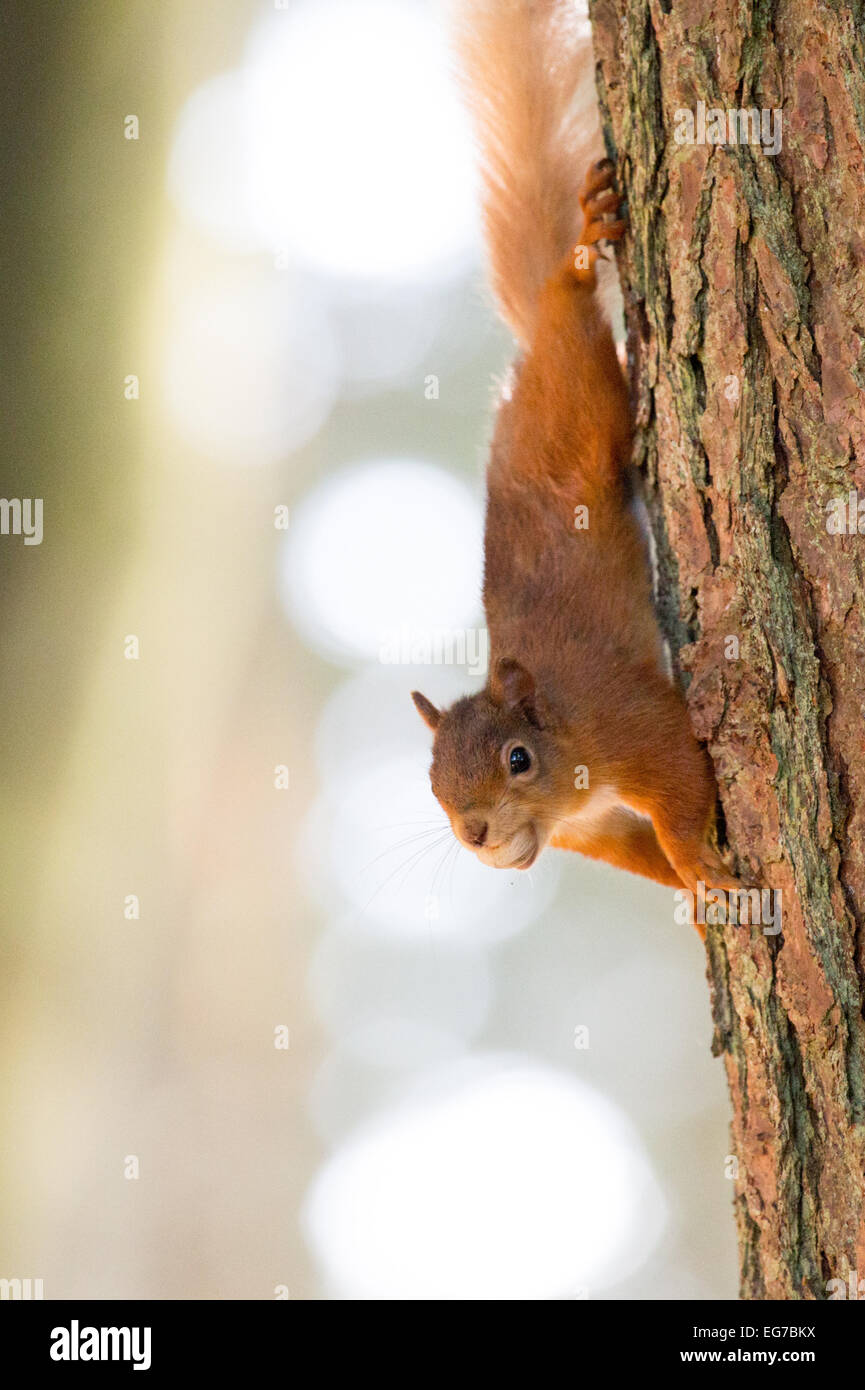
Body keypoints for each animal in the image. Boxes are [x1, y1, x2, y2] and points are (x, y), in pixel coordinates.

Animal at [414, 0, 739, 906]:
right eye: (431, 783)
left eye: (517, 759)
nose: (477, 835)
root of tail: (524, 355)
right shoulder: (594, 832)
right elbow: (641, 851)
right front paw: (692, 895)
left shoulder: (630, 721)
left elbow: (677, 780)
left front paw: (697, 861)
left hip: (579, 388)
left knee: (573, 302)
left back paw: (583, 247)